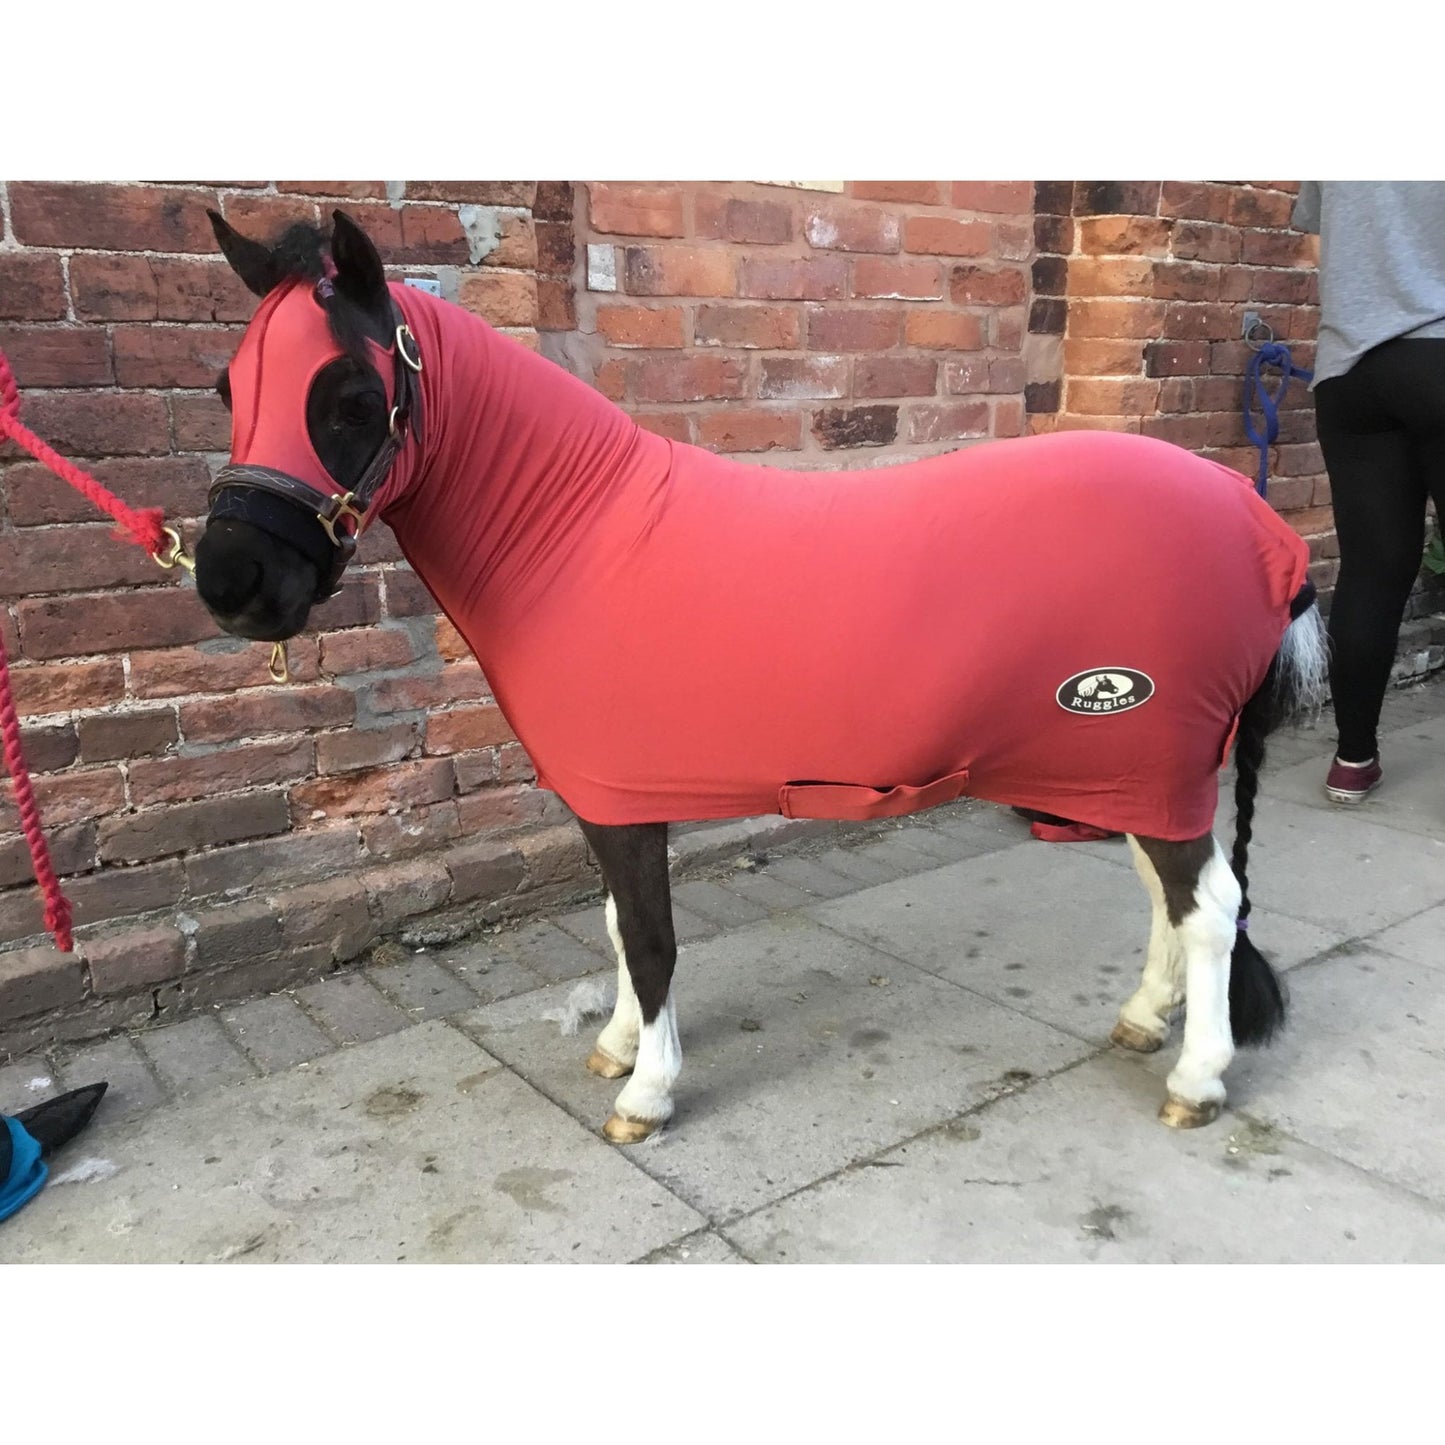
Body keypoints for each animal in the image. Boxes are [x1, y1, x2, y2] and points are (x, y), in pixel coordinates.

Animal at [192, 208, 1328, 1145]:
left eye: (350, 397)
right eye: (228, 388)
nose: (232, 582)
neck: (577, 538)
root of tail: (1266, 535)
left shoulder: (622, 799)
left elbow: (650, 940)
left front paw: (645, 1093)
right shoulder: (615, 799)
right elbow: (620, 929)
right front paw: (616, 1044)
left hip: (1144, 759)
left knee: (1207, 902)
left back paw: (1196, 1076)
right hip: (1126, 764)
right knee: (1165, 895)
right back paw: (1143, 1018)